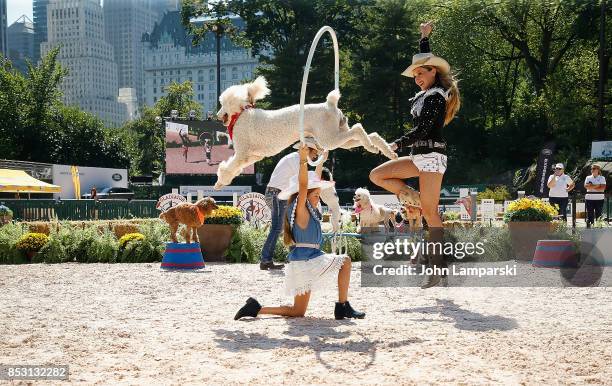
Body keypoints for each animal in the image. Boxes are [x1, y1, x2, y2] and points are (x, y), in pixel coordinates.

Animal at [214, 76, 396, 188]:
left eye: (222, 104)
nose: (217, 115)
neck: (241, 115)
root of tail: (330, 104)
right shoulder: (252, 156)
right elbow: (234, 168)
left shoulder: (242, 153)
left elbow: (229, 168)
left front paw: (220, 182)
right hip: (337, 136)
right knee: (369, 134)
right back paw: (385, 150)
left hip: (330, 138)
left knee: (358, 128)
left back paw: (373, 147)